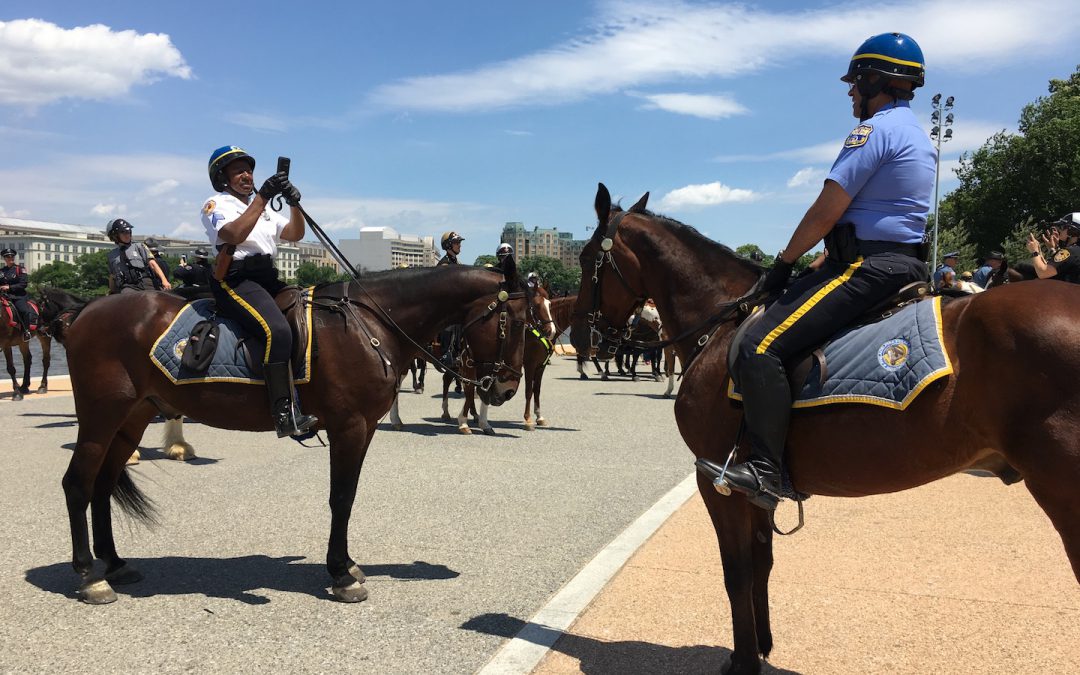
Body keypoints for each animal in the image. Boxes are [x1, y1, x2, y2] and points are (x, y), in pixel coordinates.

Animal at [61, 264, 529, 604]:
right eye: (522, 322)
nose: (506, 388)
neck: (371, 323)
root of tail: (87, 310)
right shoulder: (349, 426)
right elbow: (341, 498)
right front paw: (340, 573)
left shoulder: (364, 428)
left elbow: (348, 496)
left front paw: (347, 564)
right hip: (101, 417)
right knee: (78, 485)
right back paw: (89, 577)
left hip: (132, 416)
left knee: (102, 485)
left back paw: (115, 564)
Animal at [570, 184, 1075, 673]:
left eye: (586, 257)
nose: (579, 338)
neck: (720, 328)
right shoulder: (758, 488)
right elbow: (762, 562)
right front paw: (759, 646)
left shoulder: (716, 480)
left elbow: (736, 572)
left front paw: (744, 662)